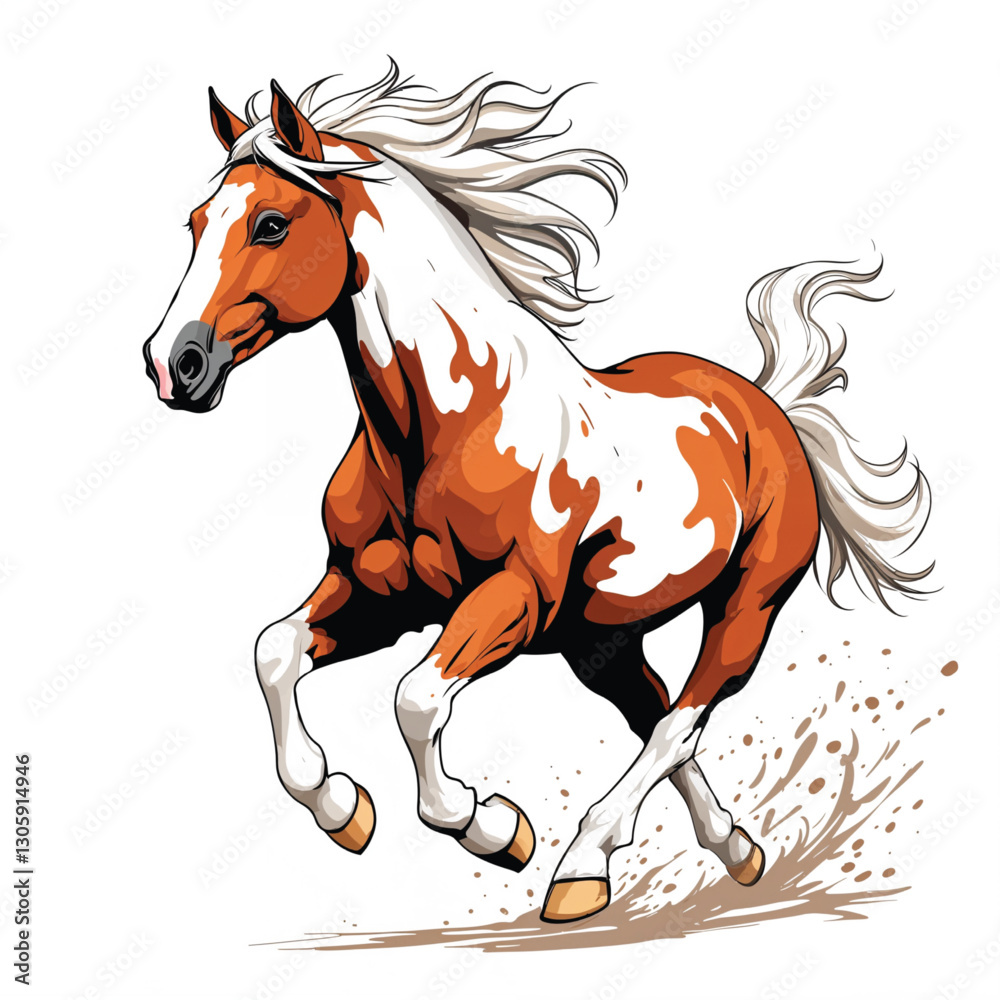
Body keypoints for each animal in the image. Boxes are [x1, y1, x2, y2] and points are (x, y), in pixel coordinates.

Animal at [142, 63, 931, 923]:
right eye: (193, 224)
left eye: (272, 224)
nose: (173, 364)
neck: (443, 426)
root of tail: (767, 406)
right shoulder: (376, 592)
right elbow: (273, 652)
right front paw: (343, 809)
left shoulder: (511, 600)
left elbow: (416, 700)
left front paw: (493, 828)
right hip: (601, 641)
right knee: (656, 714)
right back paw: (734, 851)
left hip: (746, 606)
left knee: (681, 722)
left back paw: (581, 870)